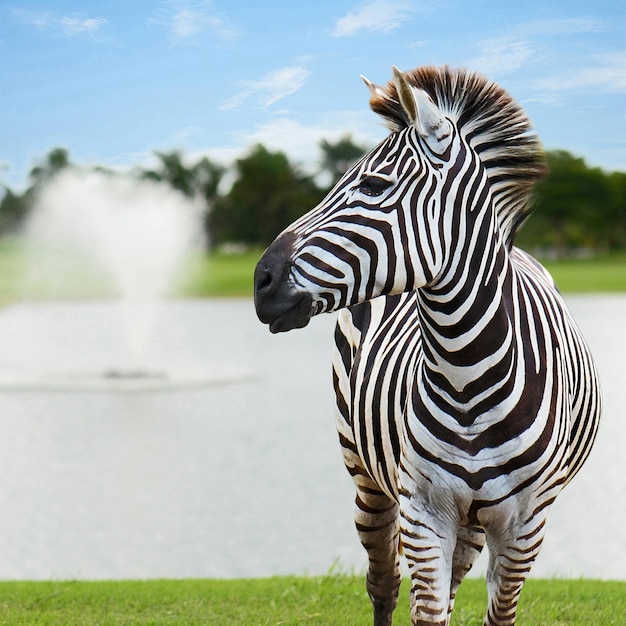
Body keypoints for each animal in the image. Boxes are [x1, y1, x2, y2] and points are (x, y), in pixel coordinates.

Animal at [252, 66, 600, 620]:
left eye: (374, 185)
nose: (259, 281)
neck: (469, 373)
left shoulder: (524, 524)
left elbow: (498, 611)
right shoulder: (424, 509)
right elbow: (426, 610)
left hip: (475, 519)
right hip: (366, 473)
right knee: (384, 581)